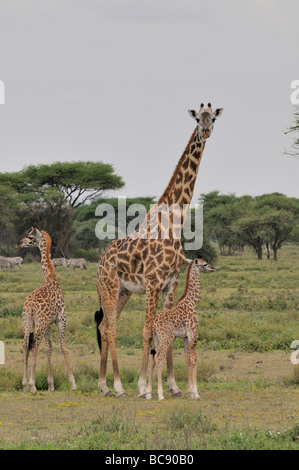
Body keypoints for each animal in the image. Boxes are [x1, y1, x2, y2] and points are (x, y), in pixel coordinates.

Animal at [146, 258, 214, 400]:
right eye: (204, 264)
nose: (213, 268)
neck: (192, 303)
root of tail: (154, 323)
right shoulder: (193, 333)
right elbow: (194, 359)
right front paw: (196, 392)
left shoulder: (185, 337)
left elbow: (187, 359)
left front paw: (190, 391)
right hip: (166, 337)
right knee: (159, 357)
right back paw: (160, 394)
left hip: (156, 339)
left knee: (153, 357)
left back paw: (148, 393)